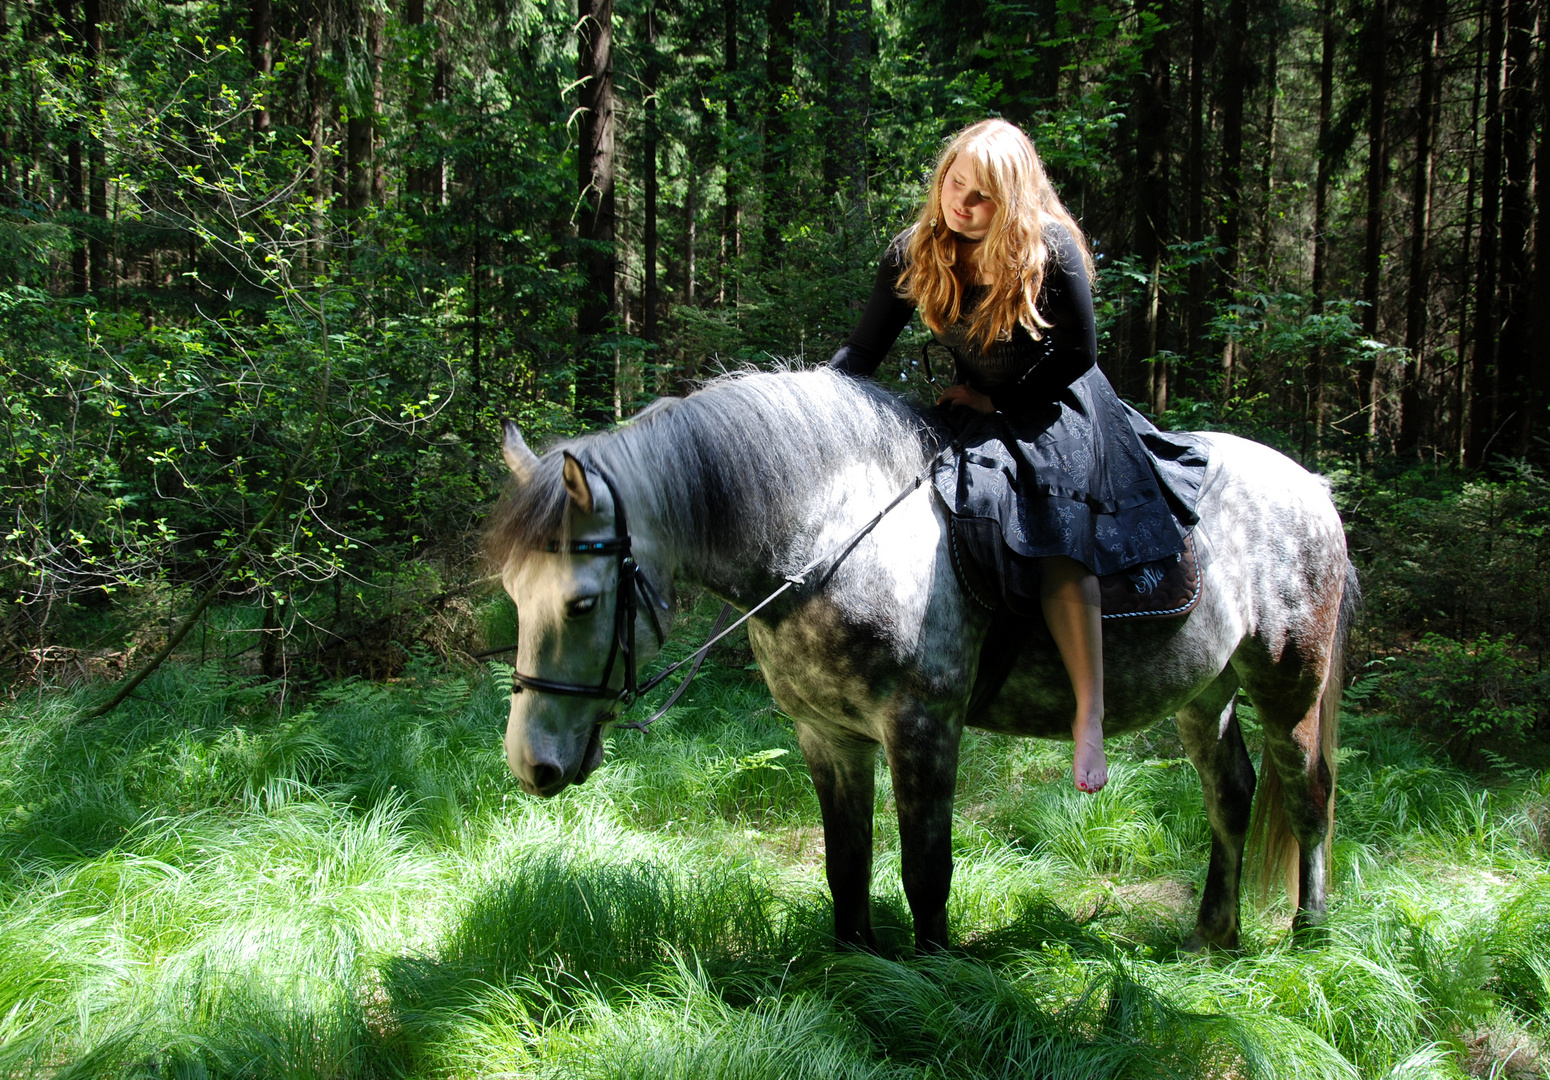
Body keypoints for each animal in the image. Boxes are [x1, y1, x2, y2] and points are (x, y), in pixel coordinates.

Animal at [483, 367, 1357, 948]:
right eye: (512, 592)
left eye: (582, 603)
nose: (531, 765)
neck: (829, 541)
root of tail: (1313, 488)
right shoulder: (828, 737)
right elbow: (847, 866)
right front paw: (855, 970)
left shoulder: (924, 728)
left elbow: (925, 873)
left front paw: (935, 985)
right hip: (1206, 691)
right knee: (1232, 795)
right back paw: (1214, 933)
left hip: (1289, 682)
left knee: (1307, 796)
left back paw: (1310, 935)